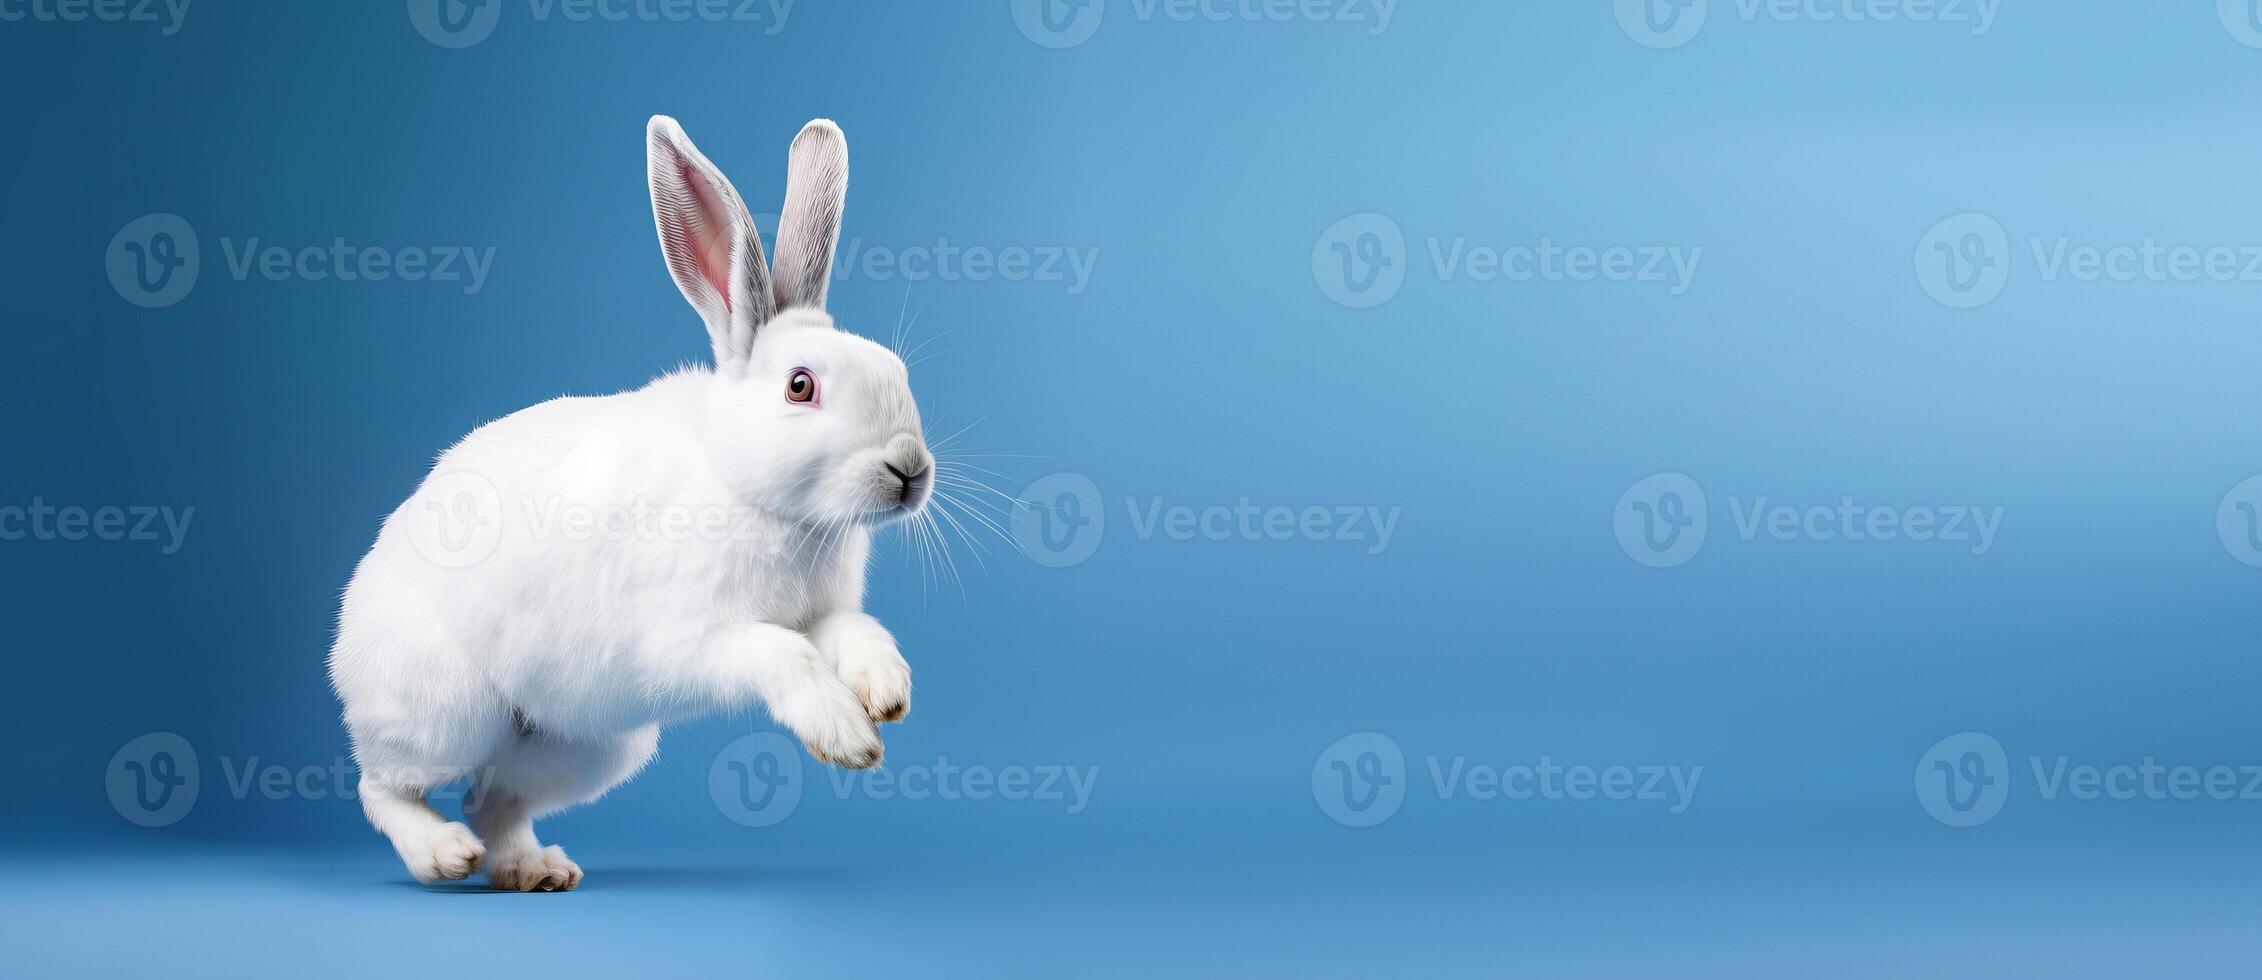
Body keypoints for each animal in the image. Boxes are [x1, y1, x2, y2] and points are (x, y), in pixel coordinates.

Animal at [327, 114, 927, 887]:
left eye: (897, 370)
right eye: (801, 386)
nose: (911, 469)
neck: (746, 488)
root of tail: (345, 647)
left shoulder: (820, 613)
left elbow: (855, 632)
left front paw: (887, 692)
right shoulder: (695, 639)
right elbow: (782, 654)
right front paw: (847, 735)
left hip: (590, 746)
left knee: (492, 797)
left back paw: (534, 871)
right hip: (444, 713)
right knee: (385, 787)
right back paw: (443, 854)